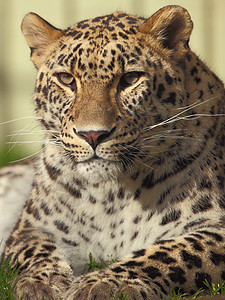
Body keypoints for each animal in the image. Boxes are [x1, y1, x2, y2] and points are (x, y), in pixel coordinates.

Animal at [1, 4, 225, 300]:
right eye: (66, 79)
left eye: (130, 78)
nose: (92, 135)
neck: (109, 194)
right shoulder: (32, 228)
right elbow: (38, 253)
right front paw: (41, 283)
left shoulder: (215, 228)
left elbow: (164, 254)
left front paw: (104, 284)